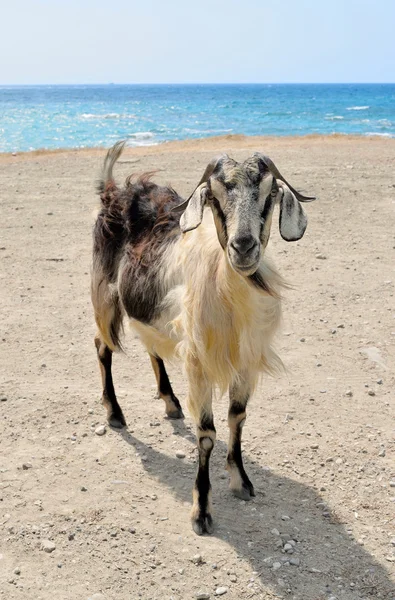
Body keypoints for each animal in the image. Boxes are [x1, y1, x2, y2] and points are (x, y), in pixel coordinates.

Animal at [90, 141, 316, 536]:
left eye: (269, 193)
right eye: (215, 195)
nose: (243, 246)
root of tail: (116, 190)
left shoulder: (245, 360)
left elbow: (238, 417)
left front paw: (241, 482)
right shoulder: (199, 362)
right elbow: (207, 433)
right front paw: (202, 511)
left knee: (151, 346)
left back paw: (170, 402)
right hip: (105, 295)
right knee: (103, 347)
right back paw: (115, 414)